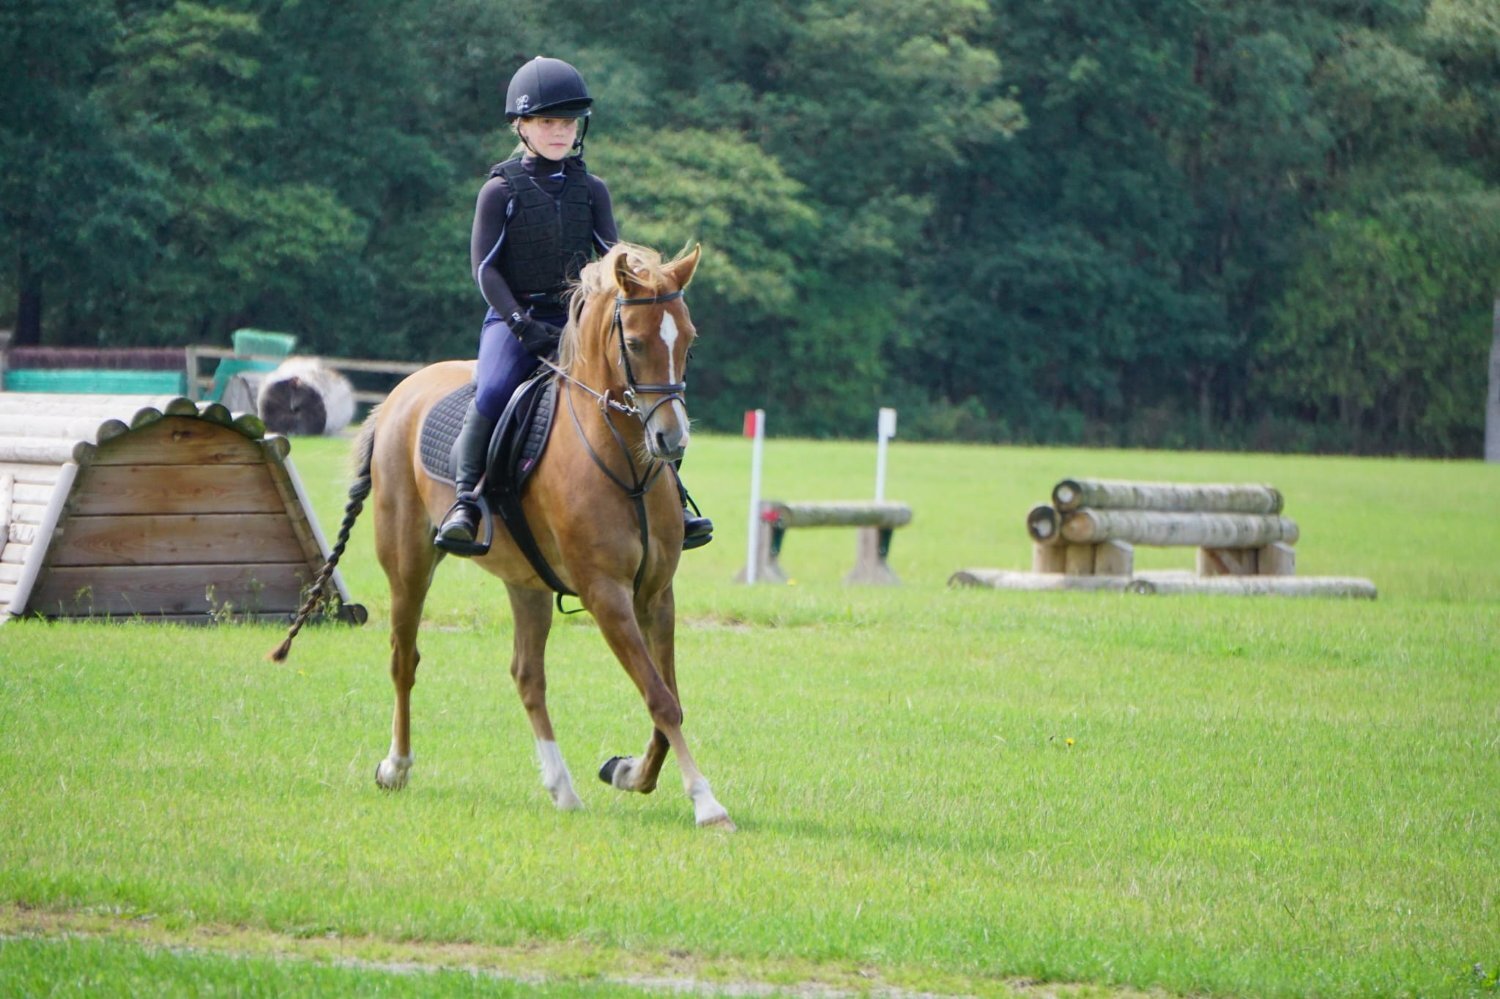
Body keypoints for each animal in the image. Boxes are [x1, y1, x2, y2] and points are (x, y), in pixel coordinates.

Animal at [270, 242, 732, 830]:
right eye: (634, 342)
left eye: (688, 342)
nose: (670, 440)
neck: (622, 459)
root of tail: (398, 395)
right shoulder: (606, 595)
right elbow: (660, 697)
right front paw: (706, 803)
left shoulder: (655, 595)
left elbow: (667, 698)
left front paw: (628, 772)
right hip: (408, 564)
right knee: (404, 658)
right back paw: (396, 767)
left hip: (526, 583)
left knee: (526, 676)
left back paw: (563, 788)